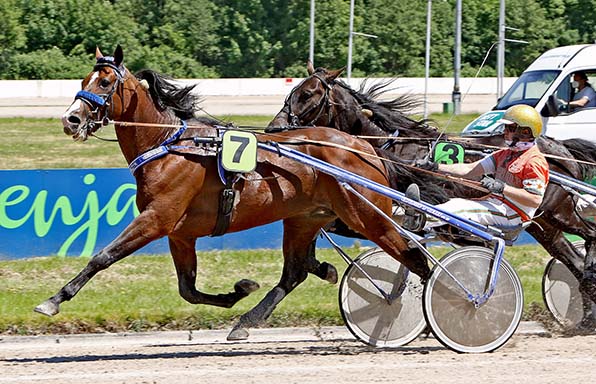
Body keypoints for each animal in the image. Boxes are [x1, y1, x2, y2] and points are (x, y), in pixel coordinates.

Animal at [35, 45, 430, 340]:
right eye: (83, 80)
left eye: (104, 82)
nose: (70, 119)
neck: (168, 146)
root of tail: (364, 146)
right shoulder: (180, 234)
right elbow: (188, 289)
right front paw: (238, 291)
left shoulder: (156, 220)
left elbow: (102, 257)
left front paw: (53, 300)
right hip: (304, 219)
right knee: (294, 272)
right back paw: (250, 318)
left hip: (367, 215)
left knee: (415, 257)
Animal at [268, 63, 596, 328]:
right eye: (294, 89)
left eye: (308, 93)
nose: (275, 127)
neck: (387, 149)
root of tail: (560, 148)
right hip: (544, 225)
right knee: (572, 260)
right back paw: (586, 313)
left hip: (557, 211)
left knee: (589, 235)